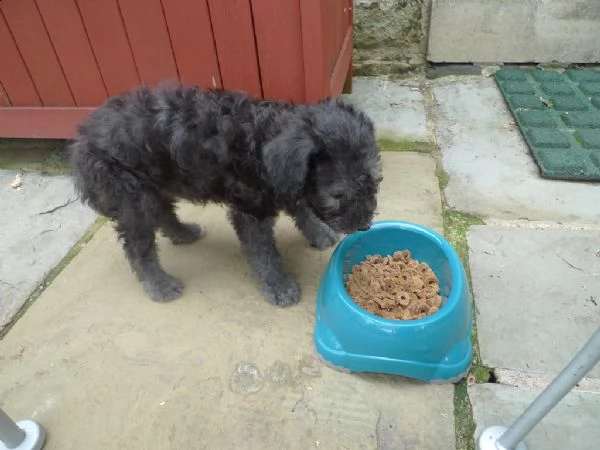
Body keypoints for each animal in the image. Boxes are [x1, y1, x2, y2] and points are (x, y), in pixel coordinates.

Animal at [69, 83, 380, 306]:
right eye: (338, 194)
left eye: (375, 180)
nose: (365, 225)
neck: (262, 139)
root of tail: (81, 140)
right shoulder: (251, 213)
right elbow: (265, 255)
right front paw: (279, 287)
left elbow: (300, 205)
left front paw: (318, 233)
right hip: (134, 198)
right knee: (138, 248)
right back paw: (159, 285)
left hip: (155, 185)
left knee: (165, 213)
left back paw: (184, 234)